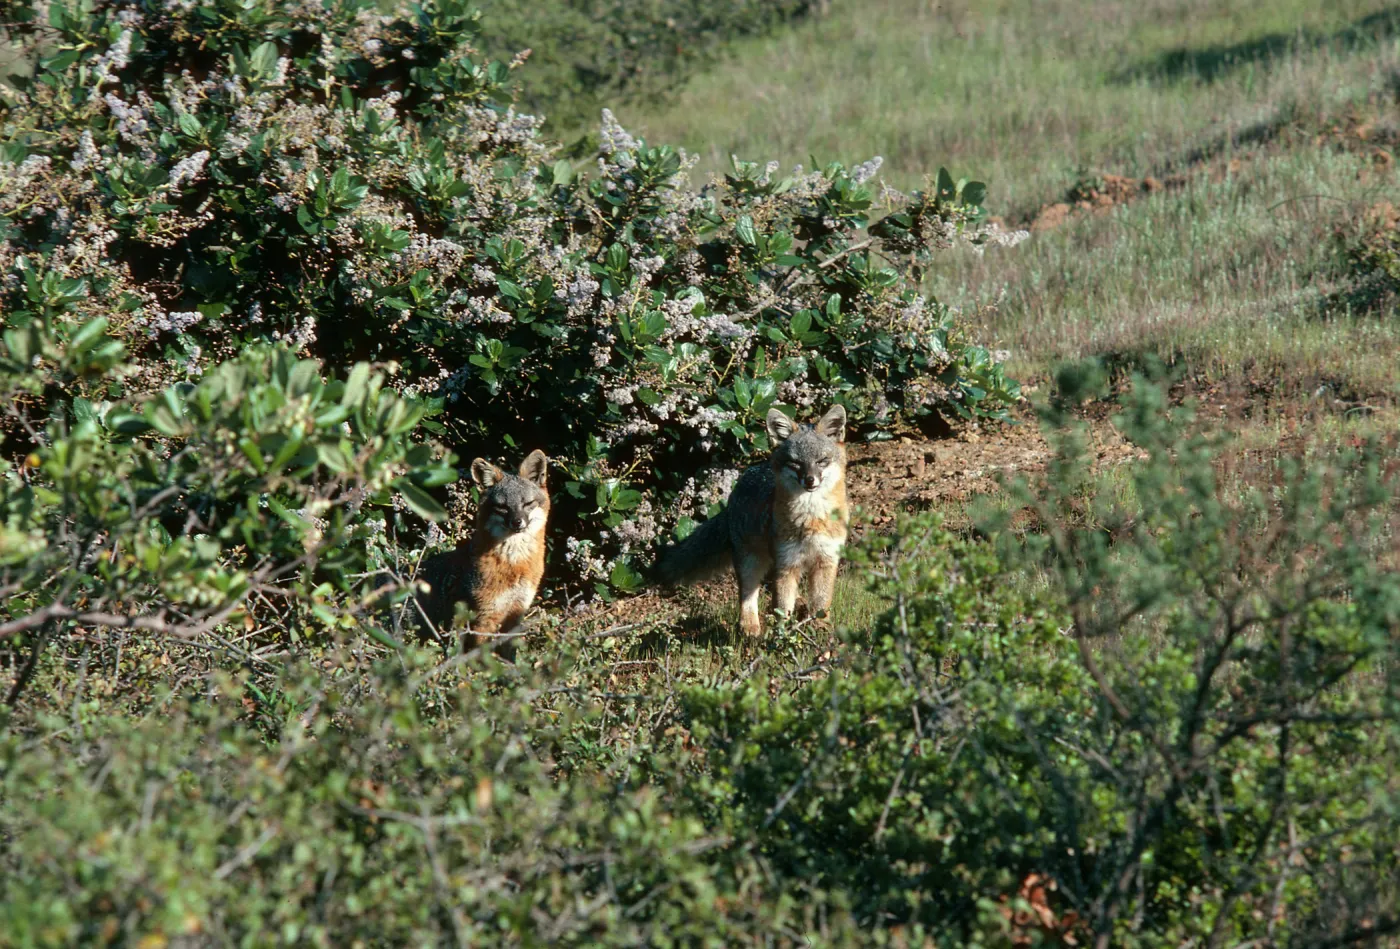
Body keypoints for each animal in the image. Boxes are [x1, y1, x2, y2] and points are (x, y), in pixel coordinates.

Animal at [415, 449, 550, 650]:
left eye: (527, 504)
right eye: (502, 507)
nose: (517, 522)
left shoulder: (516, 613)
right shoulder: (484, 619)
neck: (515, 566)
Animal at [655, 404, 849, 637]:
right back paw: (750, 627)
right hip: (751, 563)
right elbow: (782, 607)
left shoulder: (826, 560)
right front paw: (783, 636)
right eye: (795, 463)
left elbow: (820, 603)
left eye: (821, 461)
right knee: (747, 596)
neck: (812, 520)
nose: (810, 480)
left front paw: (820, 629)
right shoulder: (786, 563)